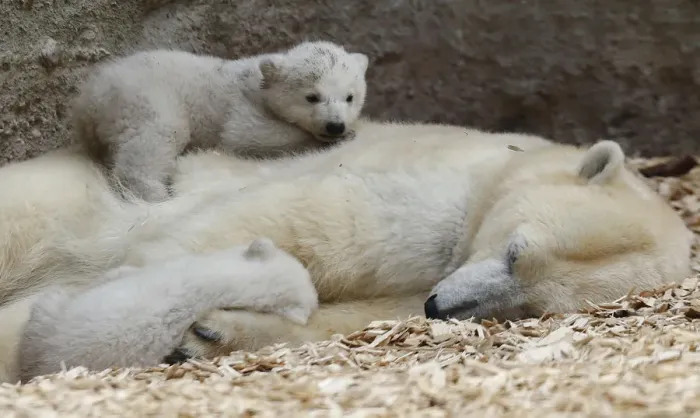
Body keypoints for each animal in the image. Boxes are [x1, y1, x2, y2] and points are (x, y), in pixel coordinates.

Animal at [71, 40, 369, 202]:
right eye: (312, 97)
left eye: (350, 97)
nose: (335, 126)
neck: (261, 78)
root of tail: (89, 98)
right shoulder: (243, 104)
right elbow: (245, 135)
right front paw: (337, 139)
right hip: (144, 98)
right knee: (156, 137)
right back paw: (155, 194)